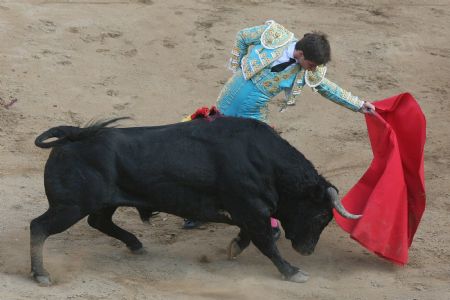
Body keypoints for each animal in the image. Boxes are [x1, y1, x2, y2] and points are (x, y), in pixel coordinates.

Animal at [30, 116, 362, 286]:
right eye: (321, 216)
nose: (307, 251)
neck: (266, 161)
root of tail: (72, 134)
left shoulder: (249, 211)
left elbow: (252, 236)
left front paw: (235, 247)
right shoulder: (252, 209)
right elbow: (267, 242)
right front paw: (293, 272)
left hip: (101, 202)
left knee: (99, 221)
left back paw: (136, 244)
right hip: (69, 207)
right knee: (39, 227)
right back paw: (42, 274)